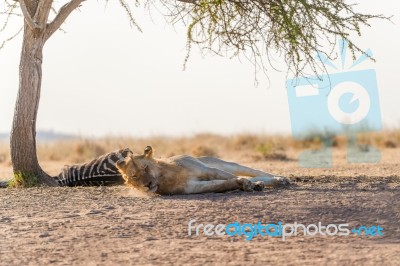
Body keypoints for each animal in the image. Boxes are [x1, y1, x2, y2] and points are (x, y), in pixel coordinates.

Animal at [116, 145, 290, 195]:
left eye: (145, 168)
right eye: (134, 176)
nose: (148, 184)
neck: (164, 176)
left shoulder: (209, 170)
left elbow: (229, 176)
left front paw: (252, 185)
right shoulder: (193, 187)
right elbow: (225, 183)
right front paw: (244, 184)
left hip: (223, 163)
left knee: (255, 172)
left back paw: (281, 179)